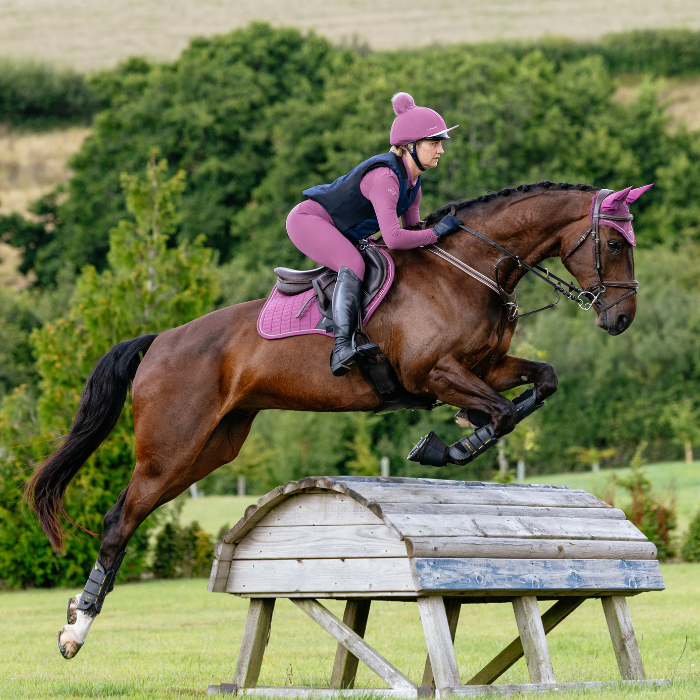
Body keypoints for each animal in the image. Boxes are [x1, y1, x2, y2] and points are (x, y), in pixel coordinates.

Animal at [28, 181, 642, 659]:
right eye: (614, 243)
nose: (621, 319)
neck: (469, 270)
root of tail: (159, 341)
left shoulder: (485, 366)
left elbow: (541, 381)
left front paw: (464, 430)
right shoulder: (433, 372)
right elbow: (502, 413)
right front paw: (449, 445)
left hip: (212, 447)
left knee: (132, 512)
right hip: (171, 448)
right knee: (118, 521)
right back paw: (76, 629)